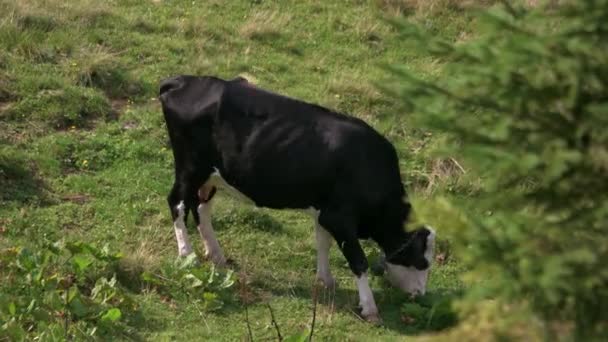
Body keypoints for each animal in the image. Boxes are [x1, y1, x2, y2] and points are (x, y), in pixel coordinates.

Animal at [157, 75, 432, 324]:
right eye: (421, 262)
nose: (420, 294)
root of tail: (181, 81)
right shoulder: (339, 218)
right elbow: (358, 260)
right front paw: (369, 308)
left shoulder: (325, 211)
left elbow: (323, 242)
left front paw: (325, 280)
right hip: (190, 168)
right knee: (177, 204)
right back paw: (187, 255)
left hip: (212, 176)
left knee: (201, 208)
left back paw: (215, 254)